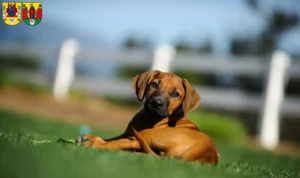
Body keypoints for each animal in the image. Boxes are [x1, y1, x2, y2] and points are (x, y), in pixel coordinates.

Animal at [76, 70, 219, 165]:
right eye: (154, 85)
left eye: (175, 94)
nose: (157, 103)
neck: (150, 118)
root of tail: (207, 154)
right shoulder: (127, 133)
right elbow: (111, 138)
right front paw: (89, 137)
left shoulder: (135, 134)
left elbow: (115, 141)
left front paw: (91, 140)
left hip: (150, 135)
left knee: (126, 143)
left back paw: (93, 143)